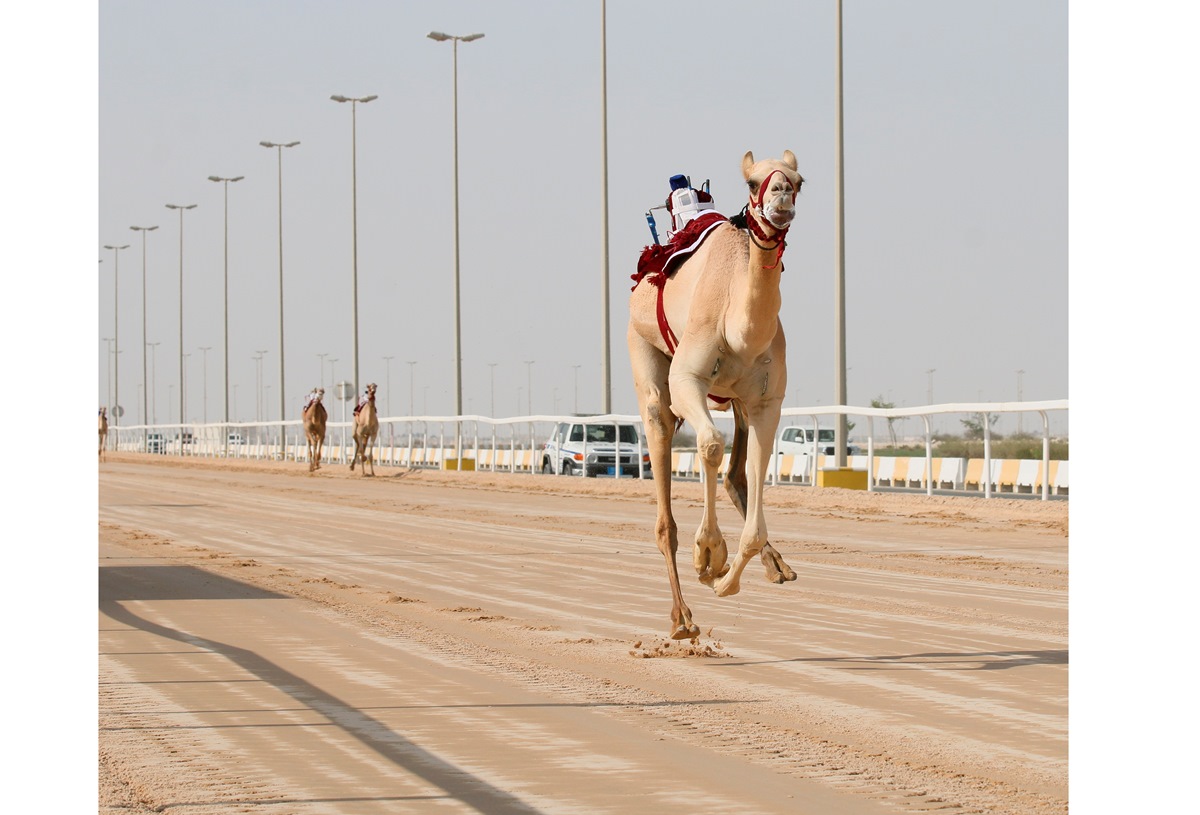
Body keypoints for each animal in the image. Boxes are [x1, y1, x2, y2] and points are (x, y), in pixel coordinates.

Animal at [628, 150, 806, 638]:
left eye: (800, 181)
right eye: (752, 182)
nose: (781, 199)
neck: (739, 329)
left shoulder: (767, 402)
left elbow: (755, 473)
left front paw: (727, 579)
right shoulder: (688, 379)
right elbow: (708, 445)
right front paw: (708, 555)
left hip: (737, 399)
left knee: (736, 473)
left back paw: (776, 567)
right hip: (645, 354)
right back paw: (682, 618)